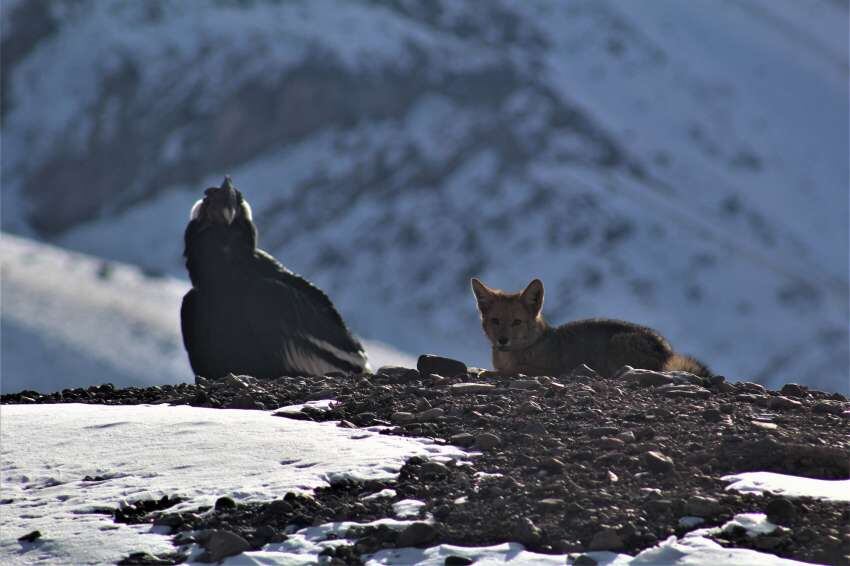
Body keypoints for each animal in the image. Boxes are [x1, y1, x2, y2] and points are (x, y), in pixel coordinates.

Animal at [470, 278, 708, 380]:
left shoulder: (551, 369)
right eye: (495, 321)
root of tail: (667, 350)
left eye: (516, 322)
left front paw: (489, 371)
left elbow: (514, 369)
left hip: (618, 341)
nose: (502, 340)